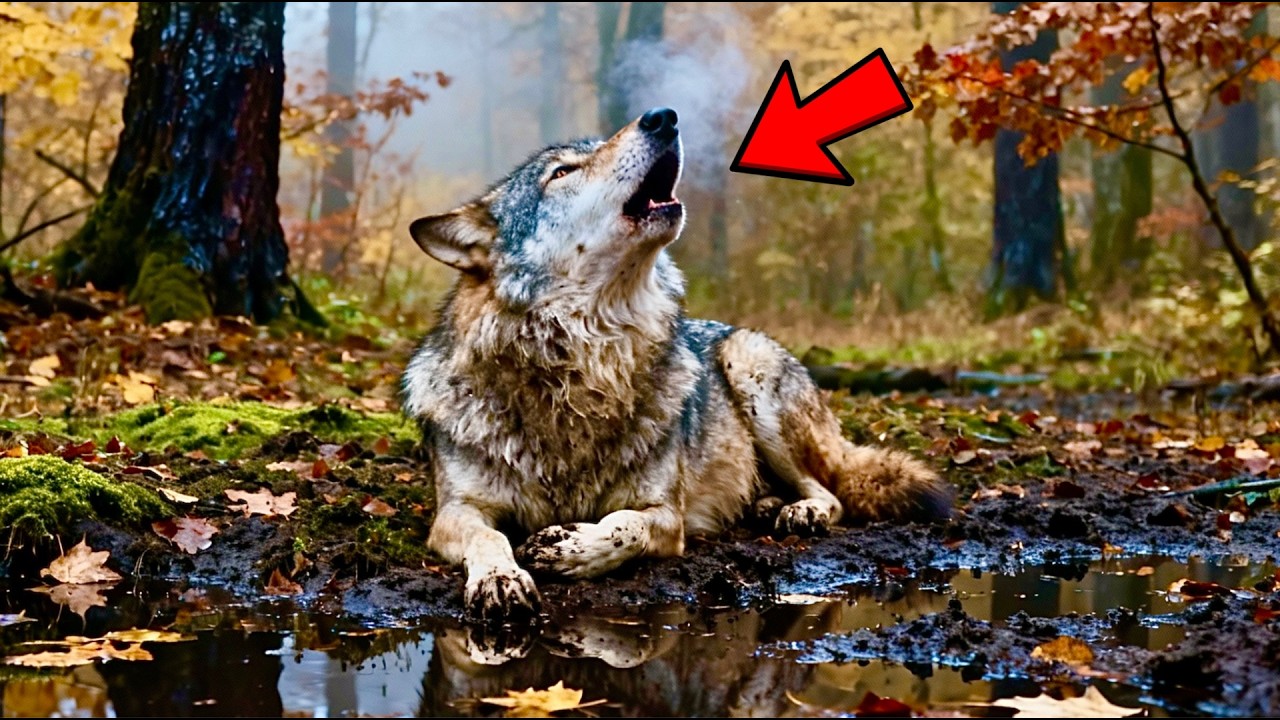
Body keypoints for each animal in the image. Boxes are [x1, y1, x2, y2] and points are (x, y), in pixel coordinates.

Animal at [402, 107, 952, 626]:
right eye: (561, 172)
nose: (662, 116)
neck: (583, 368)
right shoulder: (455, 512)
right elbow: (490, 539)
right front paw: (501, 578)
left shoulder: (667, 516)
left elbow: (624, 526)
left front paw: (570, 548)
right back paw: (764, 504)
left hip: (748, 367)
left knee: (830, 494)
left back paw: (802, 511)